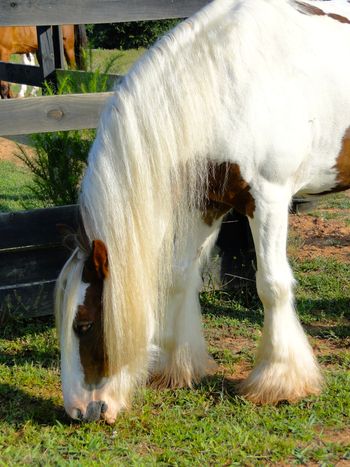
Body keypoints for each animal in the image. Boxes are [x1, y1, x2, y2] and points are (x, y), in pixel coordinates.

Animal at [54, 0, 350, 424]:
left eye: (84, 324)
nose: (78, 411)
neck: (229, 85)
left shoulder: (269, 197)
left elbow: (272, 285)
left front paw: (279, 382)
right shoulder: (208, 202)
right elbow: (180, 276)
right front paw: (176, 368)